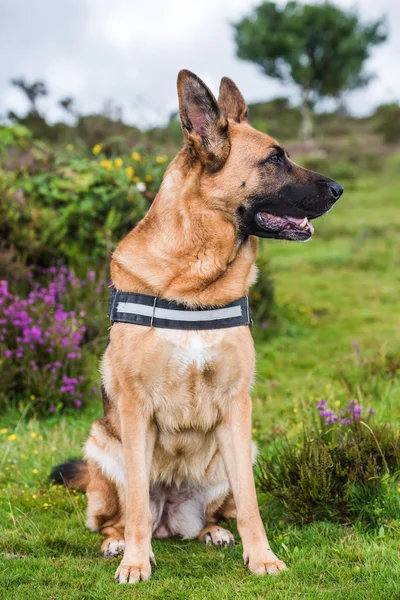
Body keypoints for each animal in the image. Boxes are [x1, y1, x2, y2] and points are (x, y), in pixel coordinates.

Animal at [50, 69, 344, 580]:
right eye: (275, 158)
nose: (339, 189)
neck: (196, 279)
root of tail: (172, 516)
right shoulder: (134, 407)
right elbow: (136, 508)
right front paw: (134, 562)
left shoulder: (237, 406)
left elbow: (250, 502)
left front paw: (262, 557)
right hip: (102, 446)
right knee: (118, 516)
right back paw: (118, 543)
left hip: (236, 453)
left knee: (217, 511)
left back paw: (213, 532)